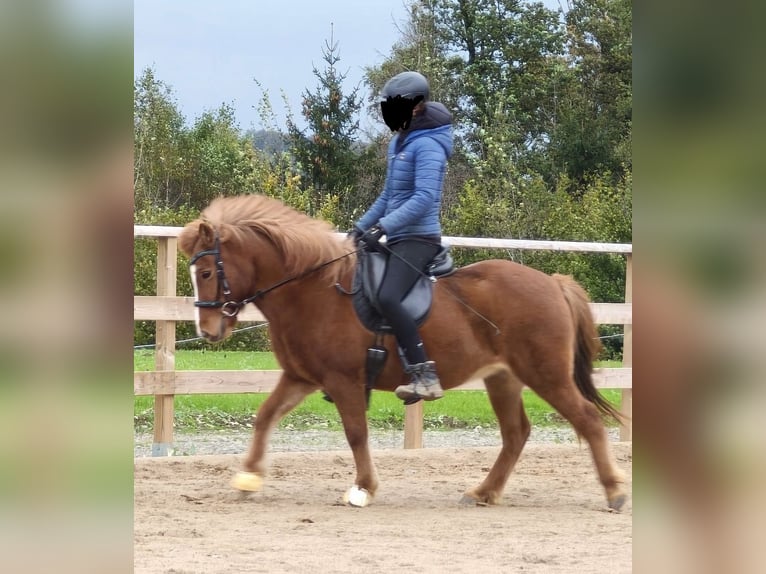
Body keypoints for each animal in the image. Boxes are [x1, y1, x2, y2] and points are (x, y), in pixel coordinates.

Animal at [178, 194, 627, 510]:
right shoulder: (301, 377)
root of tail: (552, 282)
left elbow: (356, 433)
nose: (208, 331)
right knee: (516, 434)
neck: (312, 289)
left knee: (587, 420)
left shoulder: (344, 380)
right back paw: (483, 492)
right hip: (503, 379)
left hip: (546, 374)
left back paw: (614, 492)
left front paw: (363, 488)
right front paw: (249, 478)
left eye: (207, 272)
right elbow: (265, 416)